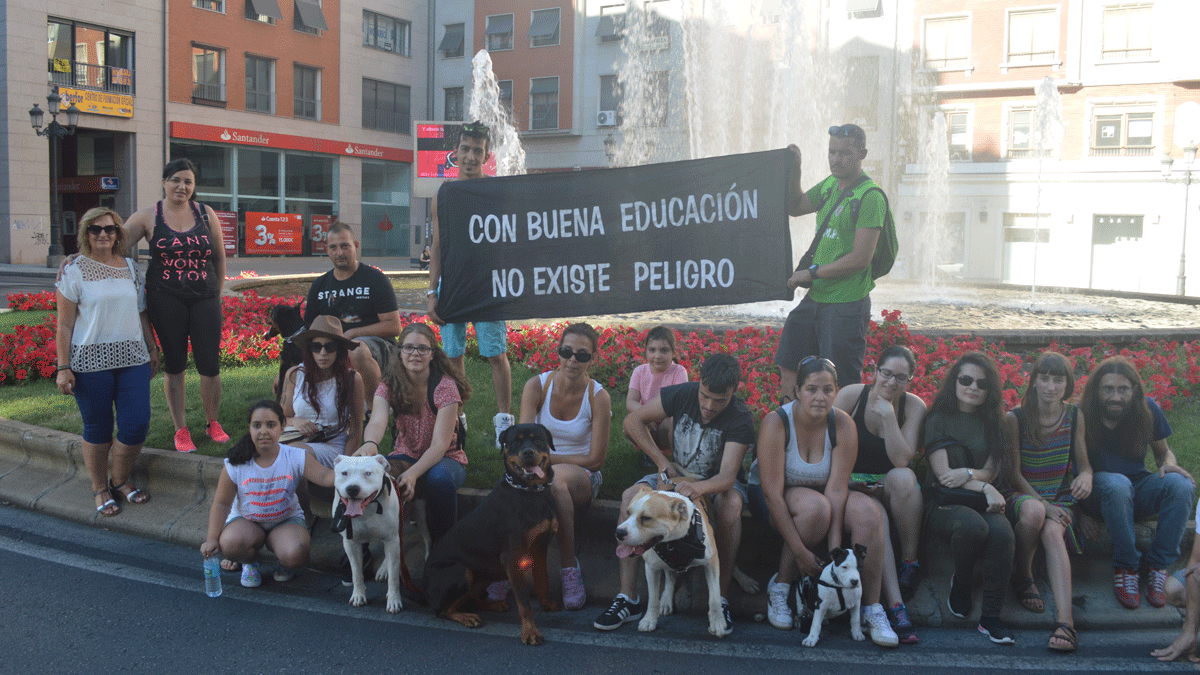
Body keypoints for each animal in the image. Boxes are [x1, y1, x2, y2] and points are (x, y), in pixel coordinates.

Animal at [331, 451, 405, 610]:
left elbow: (394, 575)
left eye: (368, 473)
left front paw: (394, 600)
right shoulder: (350, 543)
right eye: (344, 473)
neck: (368, 508)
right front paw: (358, 595)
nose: (352, 488)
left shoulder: (391, 539)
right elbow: (356, 572)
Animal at [424, 420, 559, 638]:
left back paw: (493, 604)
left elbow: (542, 580)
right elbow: (524, 602)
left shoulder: (540, 547)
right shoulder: (512, 556)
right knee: (442, 610)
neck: (531, 491)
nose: (528, 452)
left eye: (538, 439)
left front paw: (546, 604)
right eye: (515, 442)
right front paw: (530, 632)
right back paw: (465, 616)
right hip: (461, 570)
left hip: (487, 572)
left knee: (470, 598)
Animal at [614, 482, 724, 634]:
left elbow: (714, 596)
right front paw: (649, 620)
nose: (618, 532)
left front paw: (718, 621)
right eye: (628, 512)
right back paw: (666, 600)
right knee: (670, 576)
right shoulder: (651, 568)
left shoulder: (711, 563)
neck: (676, 540)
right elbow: (653, 599)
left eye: (646, 518)